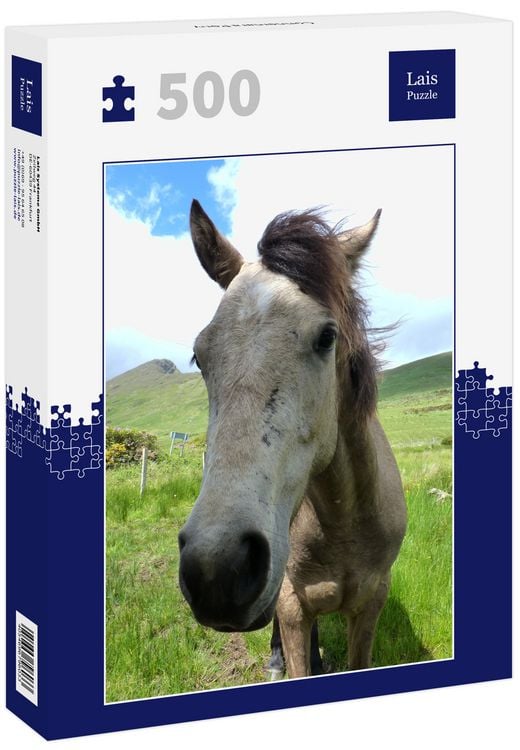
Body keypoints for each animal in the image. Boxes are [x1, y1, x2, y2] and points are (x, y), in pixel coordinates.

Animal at [178, 199, 407, 678]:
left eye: (327, 337)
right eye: (199, 355)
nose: (216, 568)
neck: (345, 524)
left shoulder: (371, 604)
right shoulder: (290, 605)